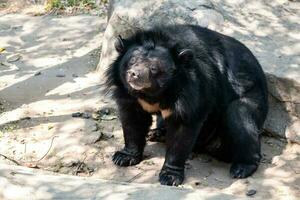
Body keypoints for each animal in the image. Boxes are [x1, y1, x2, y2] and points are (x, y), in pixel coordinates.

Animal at [105, 24, 268, 186]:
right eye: (132, 60)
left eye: (154, 68)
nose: (134, 74)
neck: (154, 93)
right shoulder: (130, 96)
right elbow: (133, 121)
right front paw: (122, 157)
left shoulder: (192, 89)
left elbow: (182, 130)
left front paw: (170, 177)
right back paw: (156, 133)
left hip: (253, 96)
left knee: (239, 115)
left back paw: (242, 168)